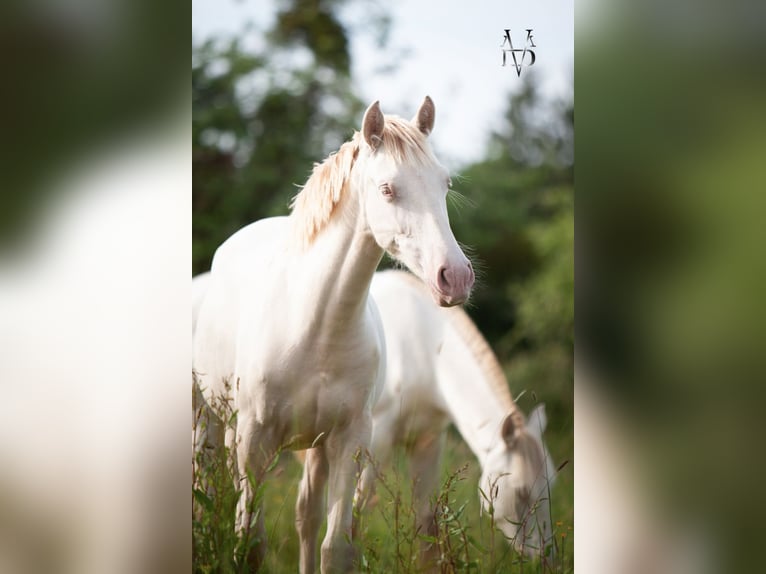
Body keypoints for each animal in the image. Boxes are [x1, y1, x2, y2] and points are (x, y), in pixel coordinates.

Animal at [192, 97, 474, 573]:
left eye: (445, 183)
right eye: (387, 189)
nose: (454, 277)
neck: (316, 326)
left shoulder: (350, 441)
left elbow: (334, 546)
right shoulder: (254, 441)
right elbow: (250, 544)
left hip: (316, 448)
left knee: (306, 516)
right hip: (208, 422)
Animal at [356, 269, 555, 565]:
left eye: (551, 485)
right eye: (521, 491)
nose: (544, 556)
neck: (422, 347)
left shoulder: (429, 440)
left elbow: (426, 522)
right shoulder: (377, 440)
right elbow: (357, 510)